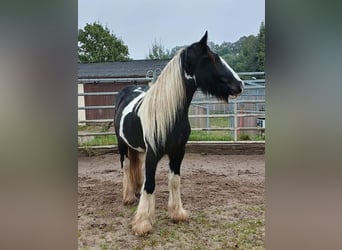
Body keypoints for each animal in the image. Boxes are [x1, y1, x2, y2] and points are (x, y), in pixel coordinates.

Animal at [114, 31, 243, 236]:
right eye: (211, 58)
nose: (240, 84)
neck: (169, 114)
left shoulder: (178, 152)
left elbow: (174, 181)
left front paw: (177, 213)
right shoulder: (153, 154)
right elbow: (150, 185)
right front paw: (143, 223)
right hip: (122, 145)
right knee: (126, 167)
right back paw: (128, 197)